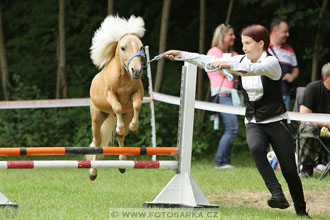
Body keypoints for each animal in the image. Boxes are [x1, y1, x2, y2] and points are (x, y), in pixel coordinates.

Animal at [86, 15, 146, 180]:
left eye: (141, 47)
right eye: (123, 48)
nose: (136, 71)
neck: (124, 77)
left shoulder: (137, 95)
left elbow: (137, 105)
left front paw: (133, 127)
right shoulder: (110, 95)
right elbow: (117, 106)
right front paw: (120, 126)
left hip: (126, 115)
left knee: (120, 137)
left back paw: (122, 164)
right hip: (97, 117)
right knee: (98, 142)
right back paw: (93, 172)